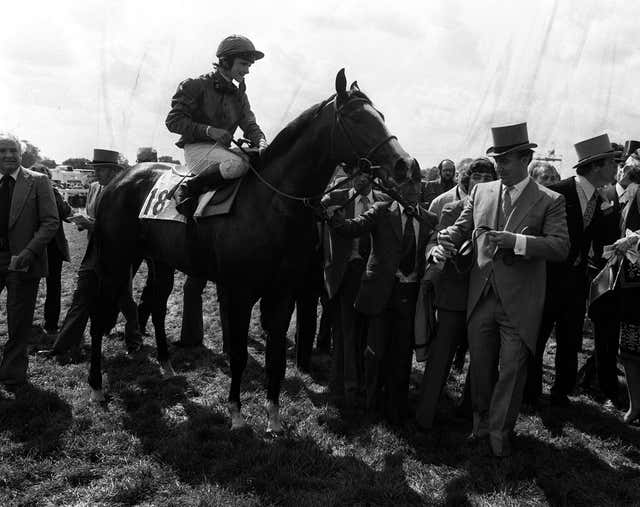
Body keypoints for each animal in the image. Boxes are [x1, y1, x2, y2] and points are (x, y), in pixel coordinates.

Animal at [91, 69, 420, 430]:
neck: (271, 204)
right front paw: (236, 413)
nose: (407, 165)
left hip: (159, 261)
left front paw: (273, 416)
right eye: (357, 118)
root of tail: (117, 180)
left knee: (158, 305)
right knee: (100, 314)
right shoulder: (240, 291)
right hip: (116, 258)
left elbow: (276, 355)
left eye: (382, 116)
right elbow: (239, 353)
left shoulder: (282, 292)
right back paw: (96, 388)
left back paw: (166, 366)